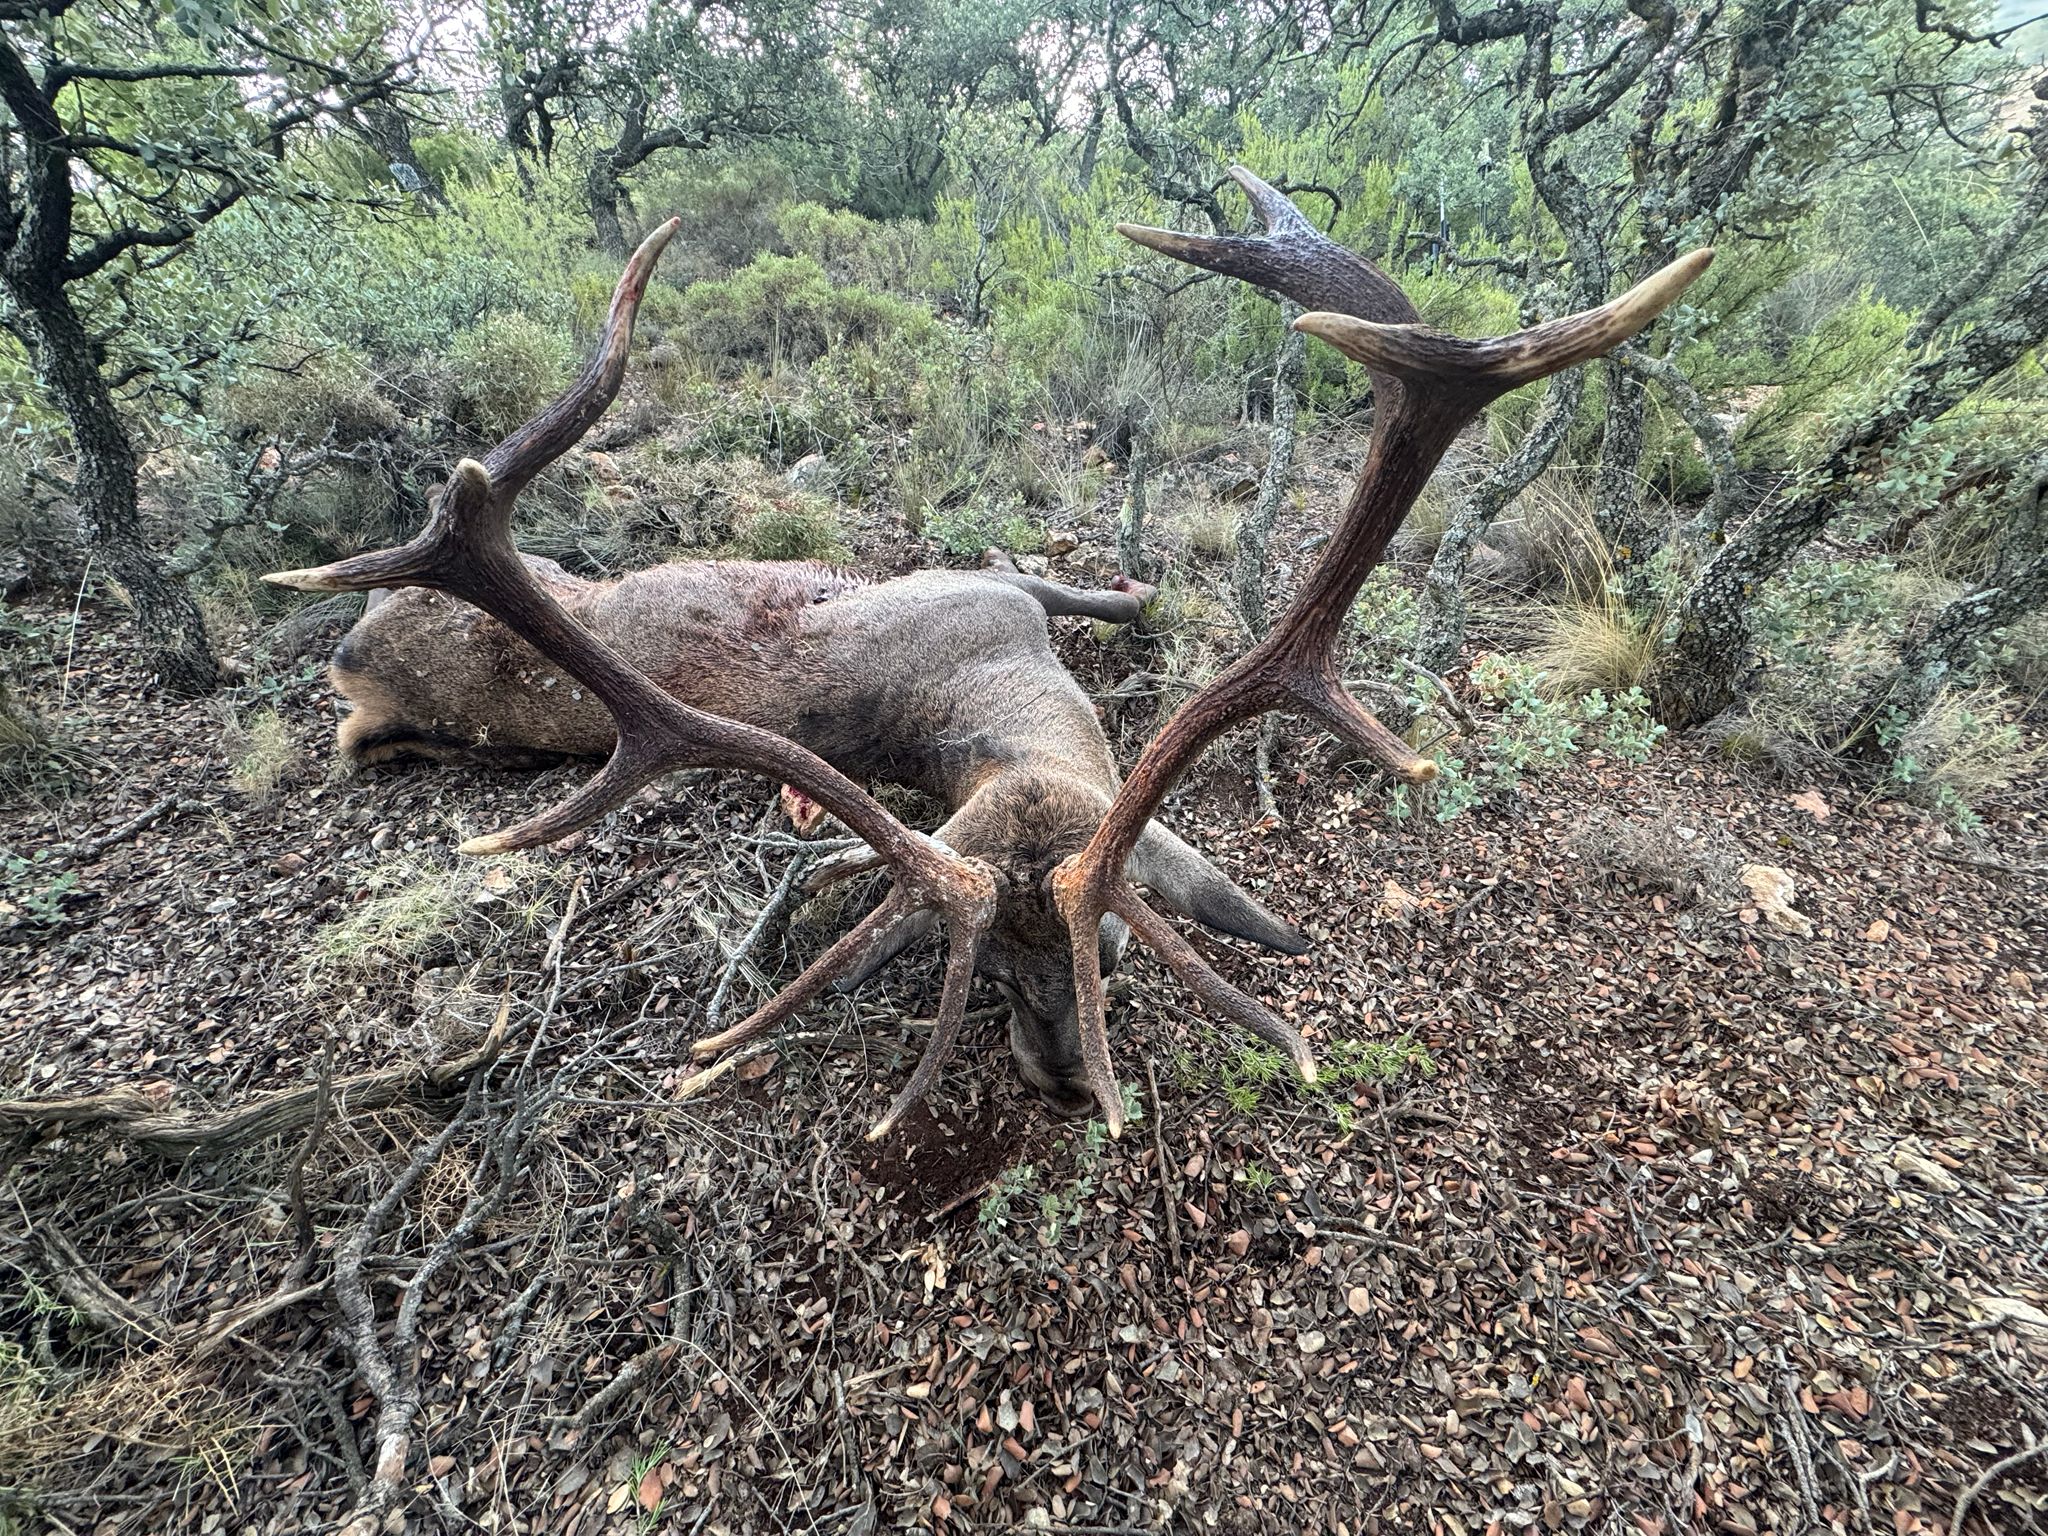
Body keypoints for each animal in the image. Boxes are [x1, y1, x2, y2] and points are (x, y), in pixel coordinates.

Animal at [268, 170, 1710, 1140]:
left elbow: (1112, 593)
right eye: (993, 981)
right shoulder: (986, 581)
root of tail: (357, 652)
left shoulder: (996, 585)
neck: (994, 700)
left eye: (1114, 950)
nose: (1069, 1085)